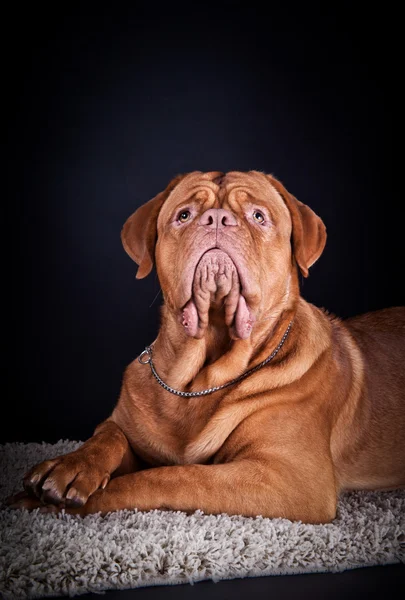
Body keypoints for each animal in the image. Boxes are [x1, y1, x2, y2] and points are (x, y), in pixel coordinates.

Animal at [7, 171, 404, 524]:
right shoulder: (124, 426)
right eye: (184, 215)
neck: (196, 378)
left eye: (258, 216)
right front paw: (71, 464)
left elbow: (172, 476)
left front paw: (45, 502)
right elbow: (107, 436)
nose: (216, 219)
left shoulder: (286, 478)